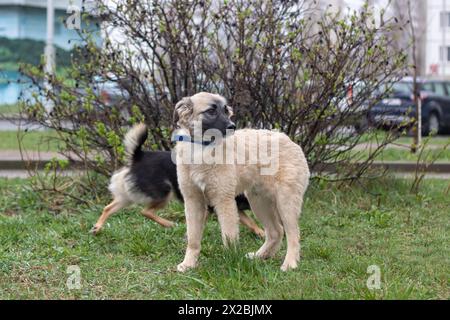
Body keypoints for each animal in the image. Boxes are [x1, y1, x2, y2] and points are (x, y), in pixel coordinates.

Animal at [90, 123, 264, 238]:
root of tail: (139, 156)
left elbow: (249, 221)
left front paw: (260, 232)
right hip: (164, 193)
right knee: (145, 211)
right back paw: (168, 224)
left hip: (128, 196)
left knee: (108, 208)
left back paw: (97, 227)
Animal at [172, 91, 310, 272]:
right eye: (211, 111)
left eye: (226, 110)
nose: (232, 126)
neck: (202, 148)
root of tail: (289, 140)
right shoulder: (193, 201)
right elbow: (193, 239)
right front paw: (188, 264)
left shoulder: (224, 200)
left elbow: (229, 236)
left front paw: (230, 264)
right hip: (259, 202)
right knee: (276, 231)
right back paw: (260, 256)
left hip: (285, 202)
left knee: (293, 234)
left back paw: (290, 263)